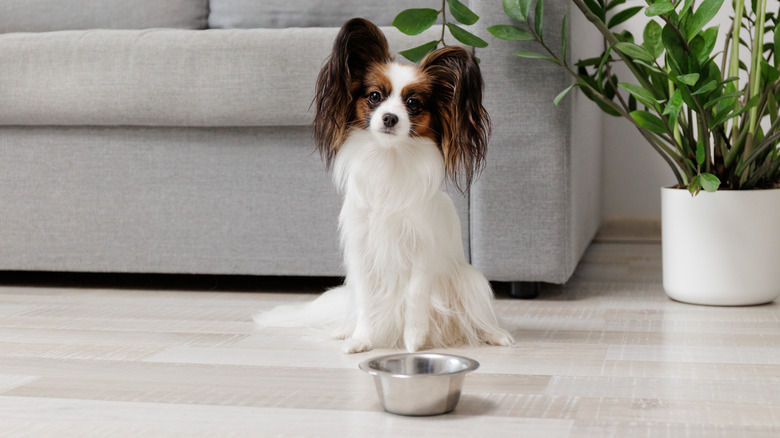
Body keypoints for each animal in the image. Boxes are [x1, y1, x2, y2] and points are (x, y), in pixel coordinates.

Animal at [253, 18, 516, 354]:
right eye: (375, 96)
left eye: (413, 103)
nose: (390, 118)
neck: (390, 160)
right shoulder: (363, 252)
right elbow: (367, 302)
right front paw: (362, 340)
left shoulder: (423, 250)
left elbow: (415, 296)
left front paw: (414, 341)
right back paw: (345, 331)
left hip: (471, 281)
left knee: (477, 314)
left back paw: (494, 334)